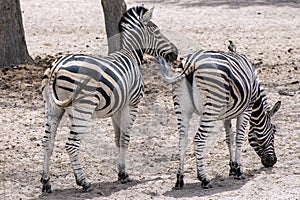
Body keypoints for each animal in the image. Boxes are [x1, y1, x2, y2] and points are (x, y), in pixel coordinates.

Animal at [40, 6, 178, 193]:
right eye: (156, 31)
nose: (176, 53)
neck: (131, 55)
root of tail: (56, 67)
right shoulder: (131, 104)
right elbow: (125, 138)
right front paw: (124, 174)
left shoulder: (116, 108)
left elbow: (117, 138)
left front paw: (120, 172)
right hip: (83, 109)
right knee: (71, 145)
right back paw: (84, 182)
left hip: (53, 108)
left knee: (47, 142)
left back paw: (46, 182)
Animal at [157, 50, 282, 189]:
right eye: (274, 130)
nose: (272, 161)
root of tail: (191, 63)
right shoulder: (247, 109)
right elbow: (239, 138)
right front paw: (238, 171)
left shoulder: (226, 115)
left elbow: (229, 138)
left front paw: (232, 168)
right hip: (211, 109)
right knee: (198, 139)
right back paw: (204, 179)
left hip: (182, 109)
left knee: (182, 140)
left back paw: (179, 179)